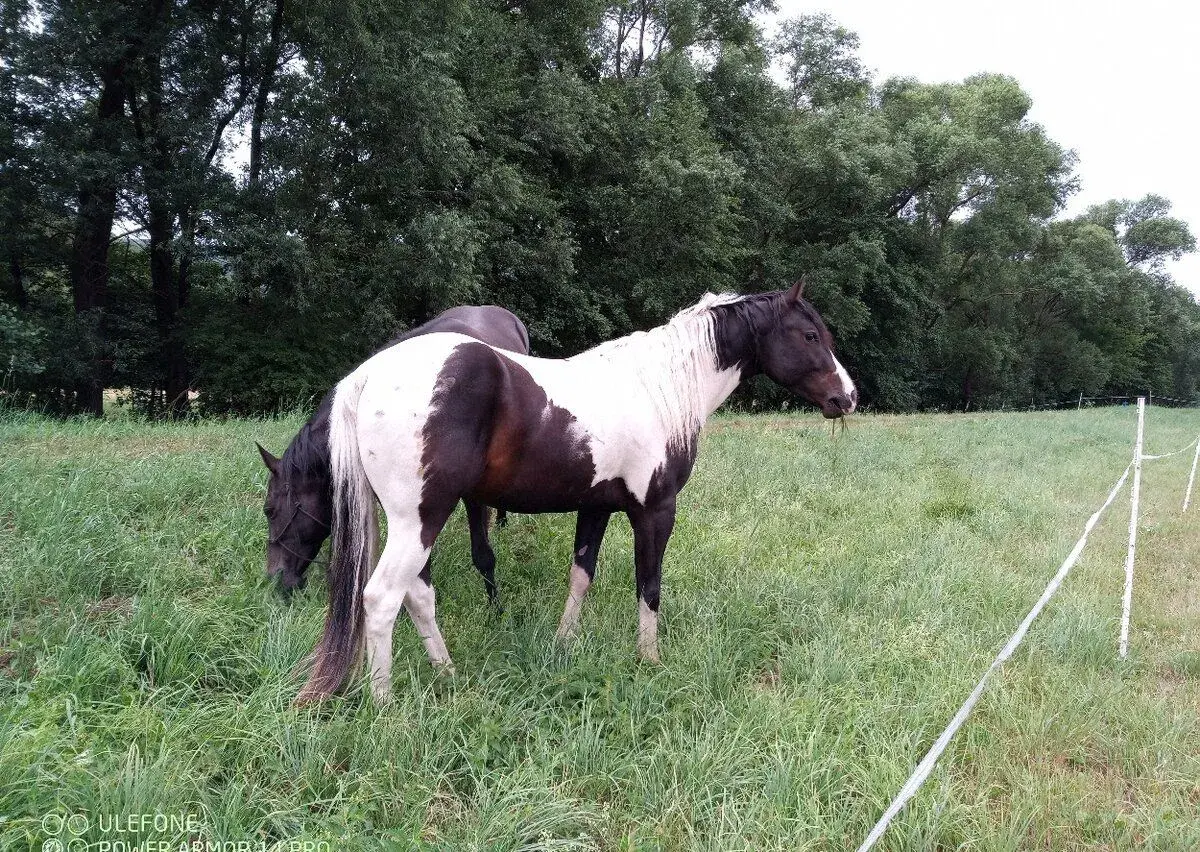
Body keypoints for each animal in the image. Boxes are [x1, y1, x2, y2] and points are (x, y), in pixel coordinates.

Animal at [298, 280, 857, 704]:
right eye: (810, 334)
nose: (847, 397)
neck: (658, 387)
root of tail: (367, 377)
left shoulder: (597, 507)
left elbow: (581, 576)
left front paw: (563, 646)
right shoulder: (655, 511)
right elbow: (648, 585)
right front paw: (649, 659)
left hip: (412, 524)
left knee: (417, 595)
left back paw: (447, 672)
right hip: (421, 519)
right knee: (382, 598)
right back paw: (386, 704)